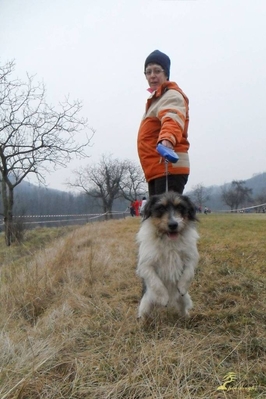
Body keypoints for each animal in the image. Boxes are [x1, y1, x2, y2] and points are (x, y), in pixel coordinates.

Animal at [136, 192, 198, 320]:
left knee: (182, 308)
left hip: (184, 299)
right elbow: (156, 282)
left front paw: (182, 287)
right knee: (144, 314)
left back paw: (186, 317)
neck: (169, 240)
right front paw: (164, 298)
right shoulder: (146, 265)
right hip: (145, 303)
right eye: (161, 208)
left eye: (180, 207)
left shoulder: (190, 258)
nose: (173, 224)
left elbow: (189, 273)